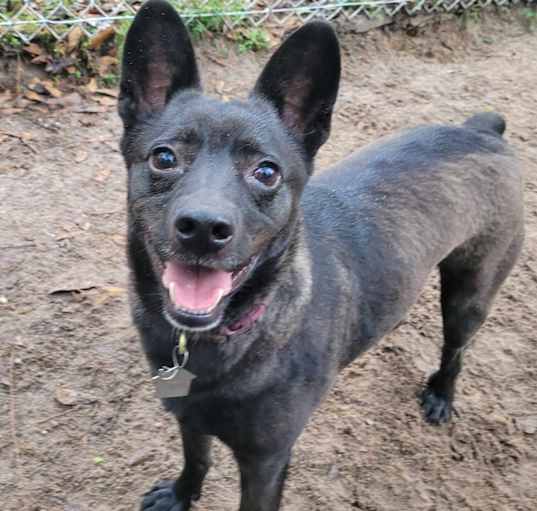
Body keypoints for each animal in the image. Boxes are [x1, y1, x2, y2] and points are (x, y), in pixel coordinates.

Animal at [117, 2, 524, 510]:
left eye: (266, 172)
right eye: (164, 158)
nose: (204, 228)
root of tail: (483, 130)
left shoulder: (267, 461)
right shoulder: (188, 414)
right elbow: (197, 457)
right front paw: (181, 493)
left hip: (469, 295)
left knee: (457, 350)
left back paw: (441, 395)